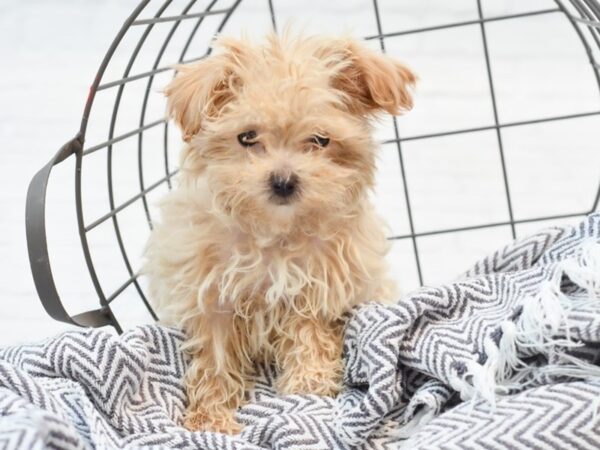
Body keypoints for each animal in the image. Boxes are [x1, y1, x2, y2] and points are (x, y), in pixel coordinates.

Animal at [145, 31, 414, 432]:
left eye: (320, 140)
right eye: (246, 137)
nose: (284, 181)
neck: (273, 235)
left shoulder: (317, 290)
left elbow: (311, 338)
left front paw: (308, 388)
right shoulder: (212, 298)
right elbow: (214, 359)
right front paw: (210, 418)